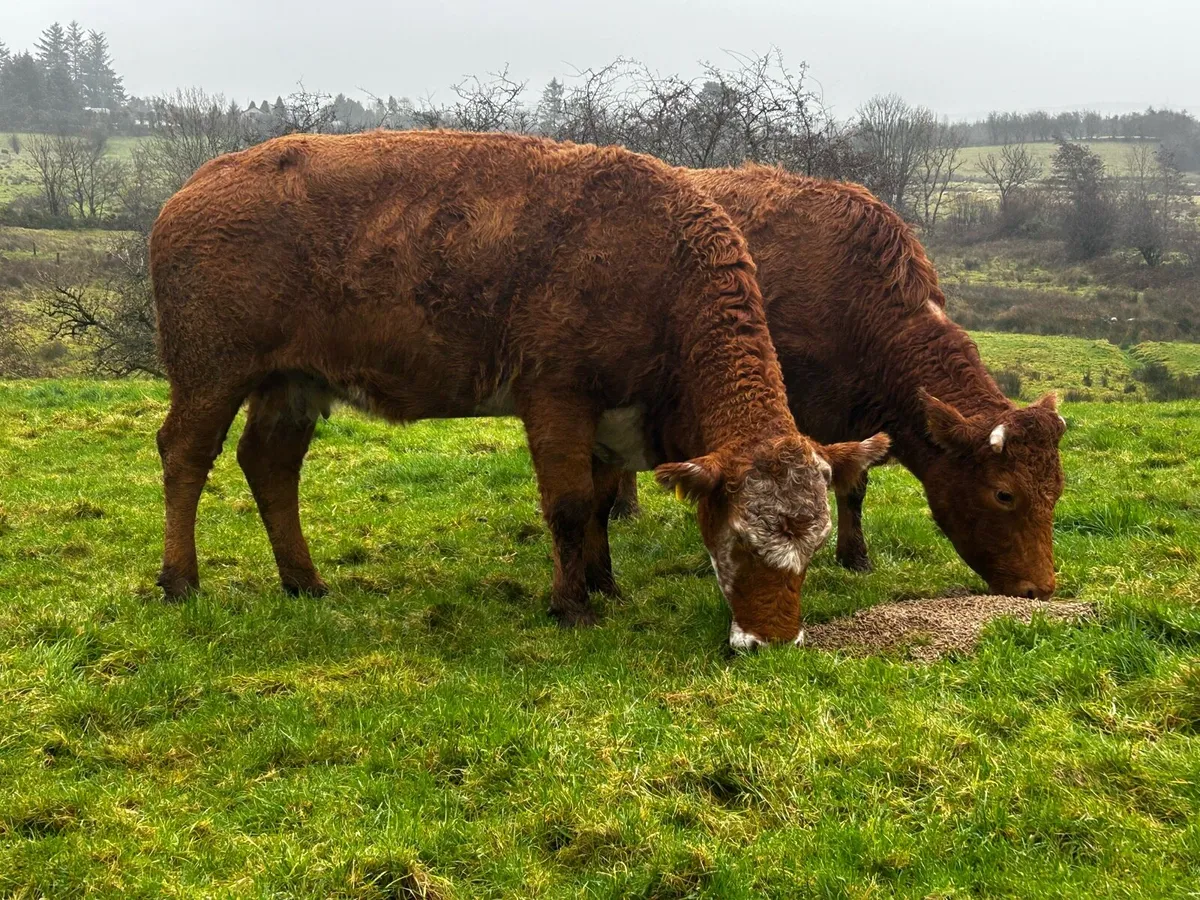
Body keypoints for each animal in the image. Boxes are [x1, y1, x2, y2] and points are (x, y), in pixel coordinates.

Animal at [149, 131, 888, 647]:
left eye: (813, 552)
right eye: (737, 542)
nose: (775, 640)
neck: (657, 266)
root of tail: (198, 183)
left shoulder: (611, 415)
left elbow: (598, 503)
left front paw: (604, 582)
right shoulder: (556, 396)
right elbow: (568, 505)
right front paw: (572, 605)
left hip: (292, 383)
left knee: (269, 464)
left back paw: (303, 581)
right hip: (211, 370)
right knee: (184, 453)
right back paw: (180, 580)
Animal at [614, 166, 1066, 599]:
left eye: (1057, 491)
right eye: (1004, 493)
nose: (1039, 588)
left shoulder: (857, 423)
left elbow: (855, 487)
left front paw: (855, 556)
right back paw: (625, 507)